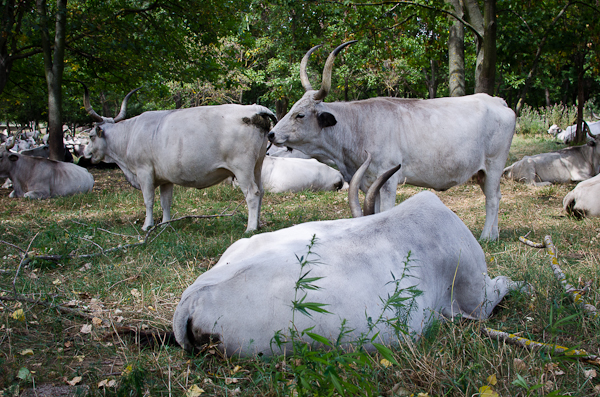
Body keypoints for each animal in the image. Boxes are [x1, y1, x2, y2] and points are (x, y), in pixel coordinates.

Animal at [82, 85, 276, 230]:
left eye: (91, 136)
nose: (85, 153)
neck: (130, 134)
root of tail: (255, 109)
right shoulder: (165, 178)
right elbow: (165, 202)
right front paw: (165, 224)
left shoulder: (144, 171)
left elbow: (148, 200)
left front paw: (147, 226)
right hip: (257, 165)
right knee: (261, 191)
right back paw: (258, 224)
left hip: (242, 168)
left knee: (252, 193)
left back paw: (250, 228)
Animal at [268, 41, 516, 238]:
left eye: (300, 115)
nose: (271, 135)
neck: (357, 126)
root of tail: (497, 100)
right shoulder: (369, 182)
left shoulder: (388, 180)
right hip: (481, 172)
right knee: (496, 195)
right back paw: (494, 234)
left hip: (494, 165)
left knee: (492, 199)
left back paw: (486, 237)